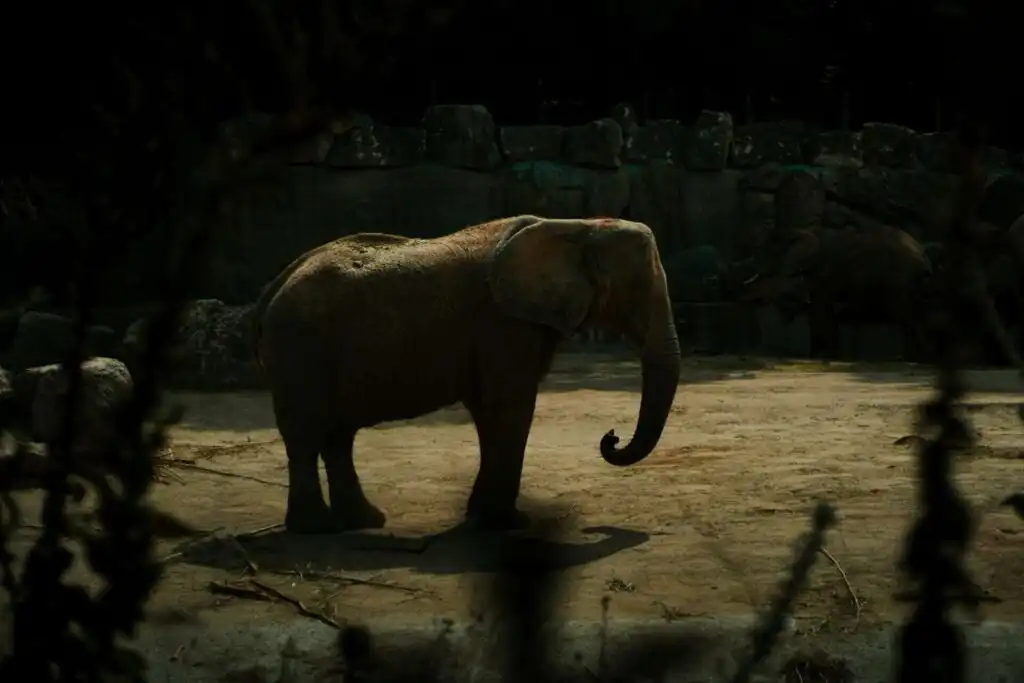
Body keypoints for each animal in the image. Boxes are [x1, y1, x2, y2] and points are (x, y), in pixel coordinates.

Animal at [251, 215, 682, 534]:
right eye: (636, 290)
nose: (611, 437)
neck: (578, 226)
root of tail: (275, 284)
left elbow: (489, 412)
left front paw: (481, 516)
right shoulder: (503, 324)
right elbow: (510, 408)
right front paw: (510, 524)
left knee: (338, 435)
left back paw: (363, 521)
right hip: (299, 348)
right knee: (306, 434)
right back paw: (317, 528)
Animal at [737, 226, 936, 360]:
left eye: (764, 252)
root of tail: (923, 253)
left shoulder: (823, 276)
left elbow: (820, 312)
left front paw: (824, 357)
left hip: (901, 281)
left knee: (908, 317)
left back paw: (914, 359)